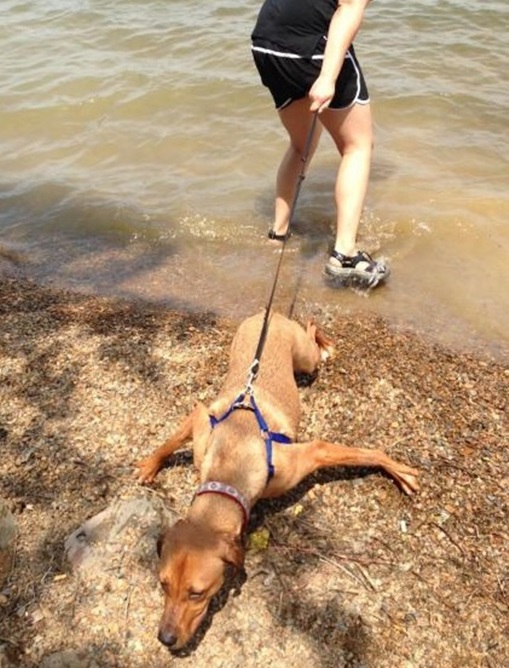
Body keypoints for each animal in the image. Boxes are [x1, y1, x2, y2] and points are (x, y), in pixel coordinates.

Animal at [135, 312, 416, 648]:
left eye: (196, 593)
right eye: (163, 584)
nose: (165, 638)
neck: (230, 468)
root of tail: (270, 314)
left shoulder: (309, 455)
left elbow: (364, 454)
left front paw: (396, 468)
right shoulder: (203, 419)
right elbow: (173, 438)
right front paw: (151, 464)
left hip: (305, 359)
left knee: (311, 333)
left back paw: (324, 343)